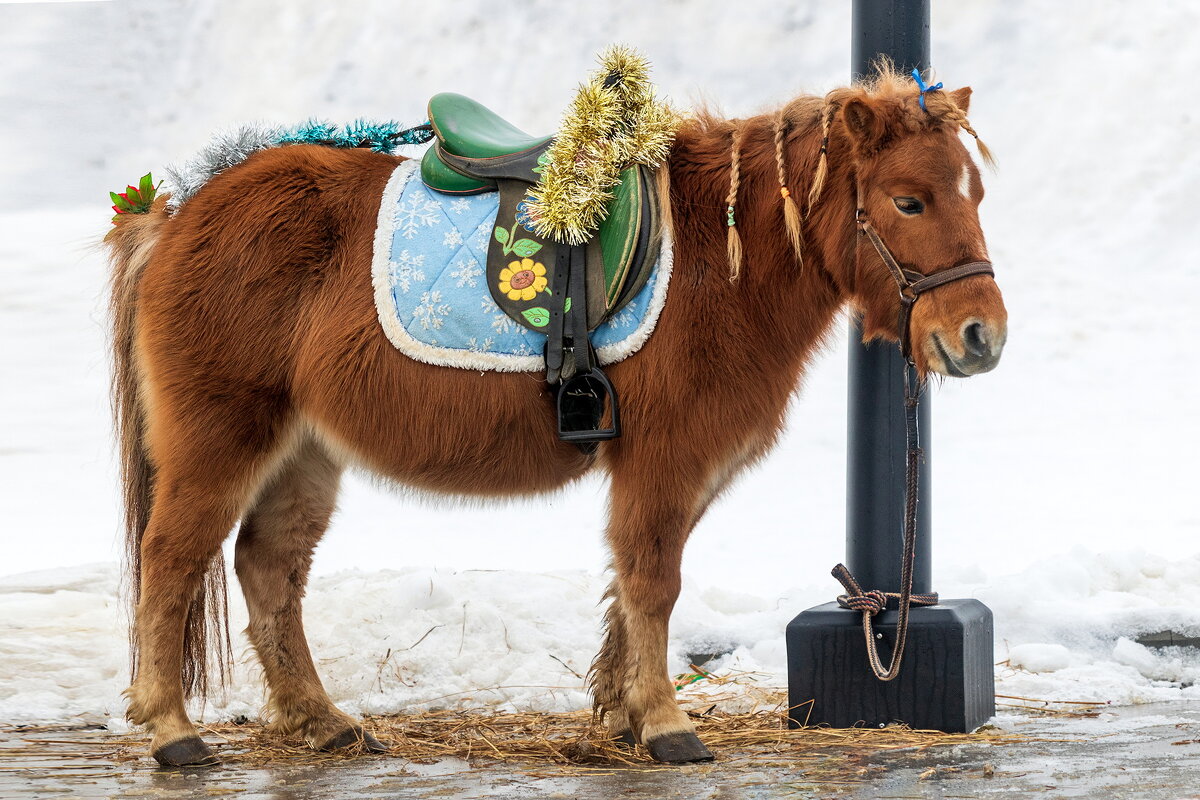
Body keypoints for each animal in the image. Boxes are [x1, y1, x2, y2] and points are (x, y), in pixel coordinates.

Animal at [108, 73, 1003, 767]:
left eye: (976, 194)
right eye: (908, 200)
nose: (980, 337)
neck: (719, 262)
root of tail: (180, 214)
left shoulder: (673, 472)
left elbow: (633, 584)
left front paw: (622, 712)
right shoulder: (663, 461)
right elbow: (653, 582)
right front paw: (666, 724)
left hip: (304, 450)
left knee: (269, 569)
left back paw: (322, 722)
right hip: (221, 440)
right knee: (172, 561)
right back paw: (172, 732)